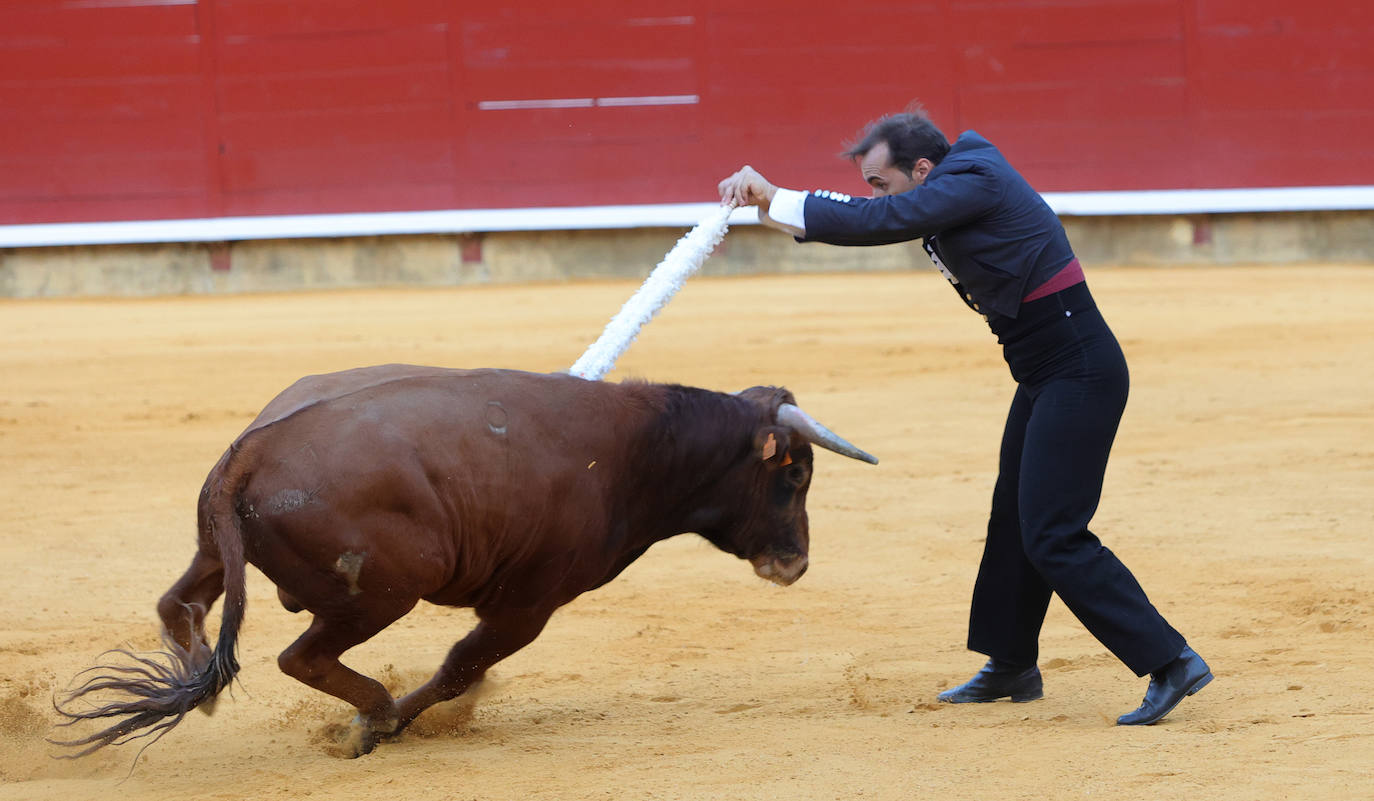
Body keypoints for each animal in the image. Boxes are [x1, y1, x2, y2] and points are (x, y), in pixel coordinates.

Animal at [53, 365, 873, 763]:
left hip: (217, 551)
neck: (641, 450)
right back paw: (375, 718)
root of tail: (251, 450)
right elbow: (459, 667)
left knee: (181, 604)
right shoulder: (529, 604)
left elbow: (464, 670)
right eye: (795, 473)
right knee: (299, 655)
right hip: (381, 592)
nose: (796, 563)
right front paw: (395, 723)